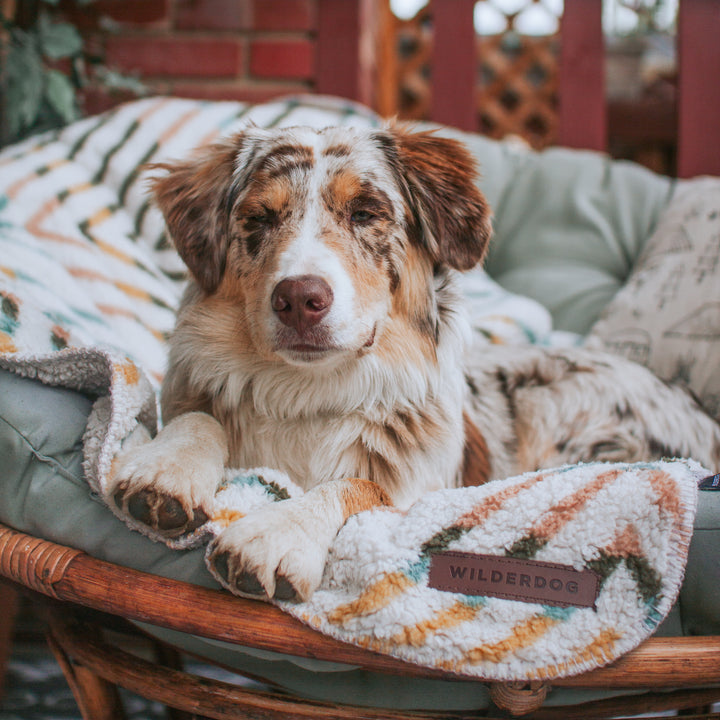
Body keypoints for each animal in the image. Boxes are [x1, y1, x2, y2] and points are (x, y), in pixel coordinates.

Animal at [107, 124, 720, 600]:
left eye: (365, 213)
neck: (305, 391)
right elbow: (200, 418)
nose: (300, 298)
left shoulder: (417, 492)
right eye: (258, 219)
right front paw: (166, 471)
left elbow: (356, 485)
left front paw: (276, 533)